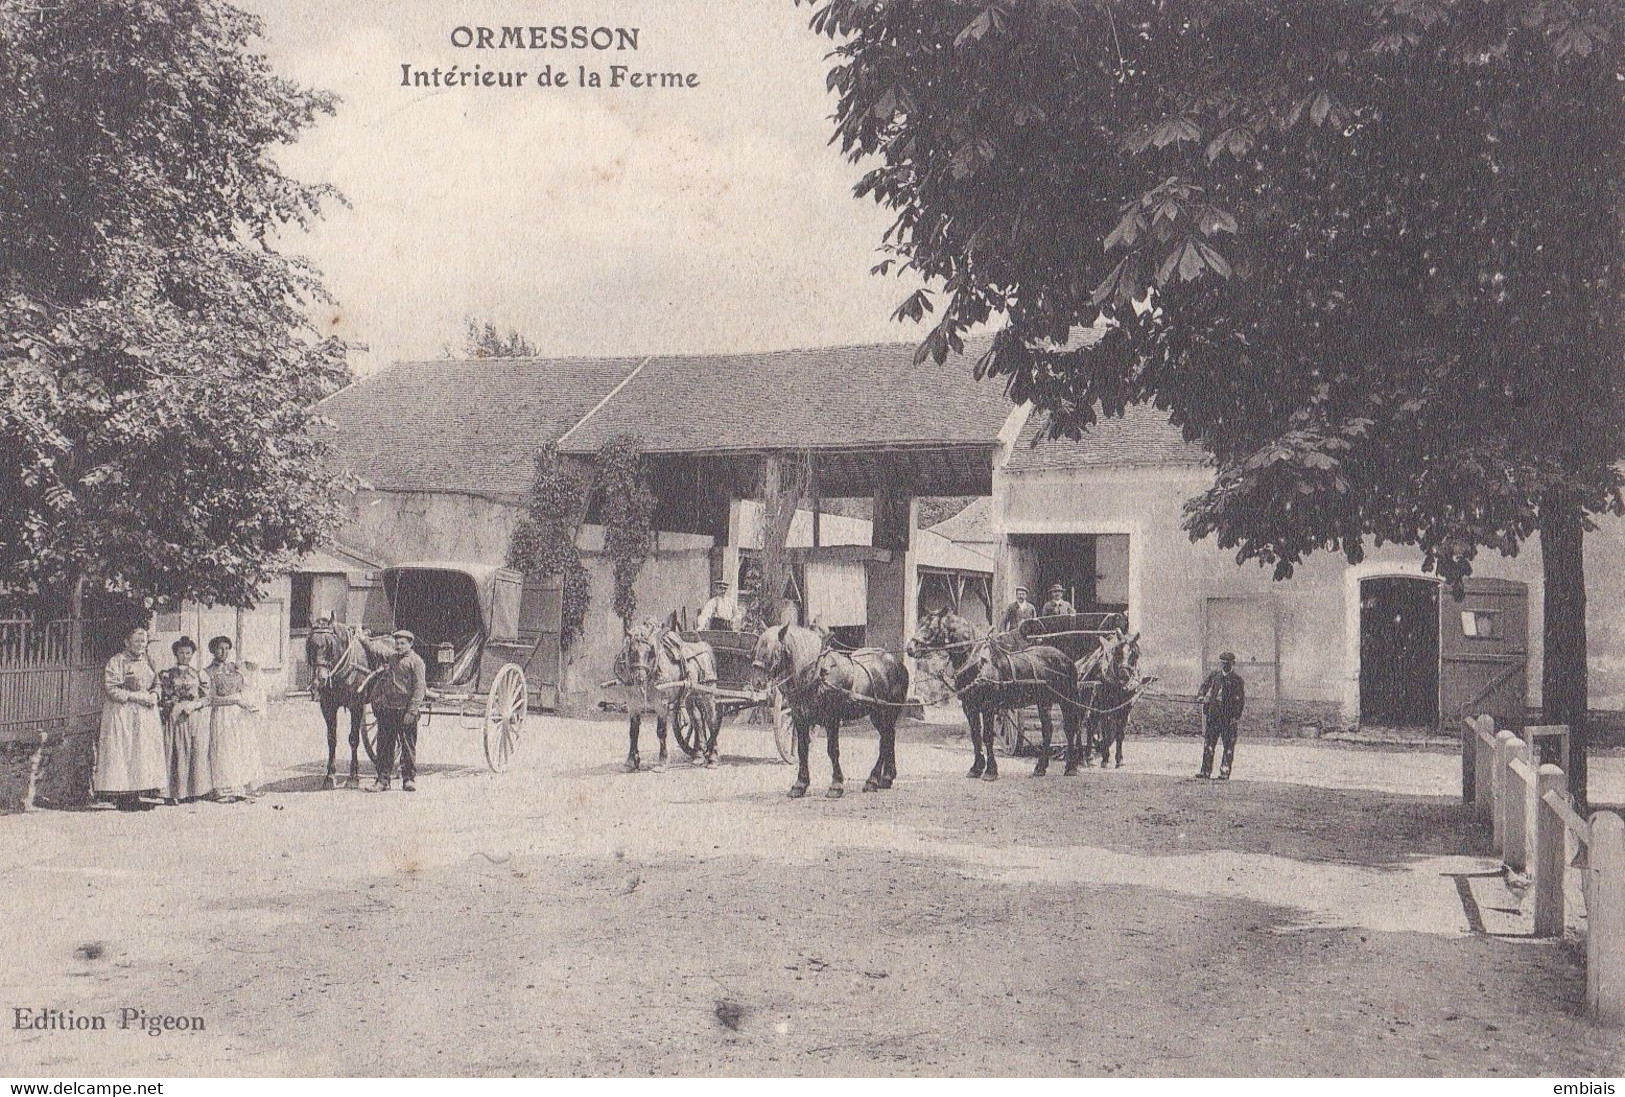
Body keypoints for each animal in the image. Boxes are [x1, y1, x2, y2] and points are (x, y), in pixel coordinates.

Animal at [305, 617, 383, 789]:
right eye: (310, 645)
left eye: (330, 645)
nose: (320, 679)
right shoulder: (327, 707)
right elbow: (331, 739)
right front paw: (329, 776)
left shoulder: (357, 706)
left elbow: (353, 739)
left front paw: (353, 777)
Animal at [614, 620, 718, 776]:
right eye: (631, 651)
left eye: (650, 652)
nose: (639, 678)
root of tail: (705, 647)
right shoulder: (633, 704)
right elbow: (633, 732)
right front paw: (631, 762)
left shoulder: (661, 704)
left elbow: (661, 731)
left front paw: (662, 762)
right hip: (690, 695)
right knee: (698, 720)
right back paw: (699, 755)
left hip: (707, 693)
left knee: (712, 720)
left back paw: (713, 758)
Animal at [750, 627, 910, 799]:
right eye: (755, 649)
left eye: (775, 651)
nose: (757, 682)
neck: (817, 673)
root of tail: (896, 661)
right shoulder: (800, 719)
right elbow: (802, 750)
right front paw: (800, 785)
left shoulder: (832, 719)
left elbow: (833, 750)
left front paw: (836, 785)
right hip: (877, 715)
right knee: (889, 737)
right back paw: (886, 777)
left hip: (886, 712)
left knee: (885, 740)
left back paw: (872, 780)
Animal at [903, 607, 1001, 780]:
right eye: (919, 623)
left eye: (931, 628)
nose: (910, 648)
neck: (976, 661)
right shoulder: (969, 706)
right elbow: (975, 735)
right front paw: (976, 768)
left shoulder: (988, 706)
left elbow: (987, 736)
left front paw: (991, 771)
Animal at [1079, 630, 1157, 767]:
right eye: (1117, 652)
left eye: (1135, 654)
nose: (1124, 675)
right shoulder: (1105, 707)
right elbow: (1105, 730)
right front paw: (1105, 758)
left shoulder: (1125, 707)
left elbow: (1120, 733)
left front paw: (1119, 759)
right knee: (1087, 725)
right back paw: (1086, 757)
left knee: (1092, 724)